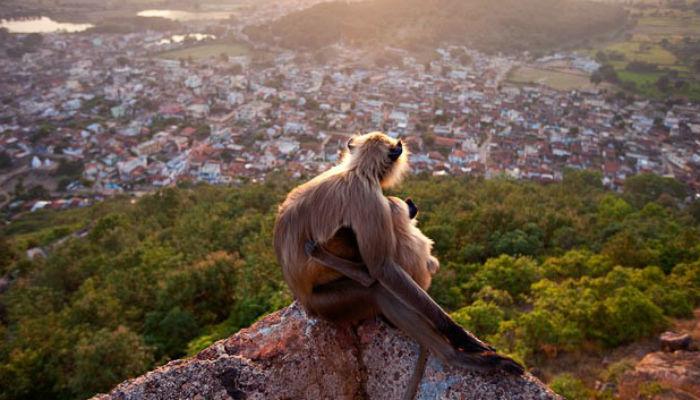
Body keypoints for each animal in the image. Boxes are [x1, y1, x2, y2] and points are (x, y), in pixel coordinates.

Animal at [274, 131, 524, 376]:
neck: (357, 170)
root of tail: (303, 299)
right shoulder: (371, 200)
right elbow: (381, 269)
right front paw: (458, 334)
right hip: (329, 303)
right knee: (377, 288)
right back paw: (456, 357)